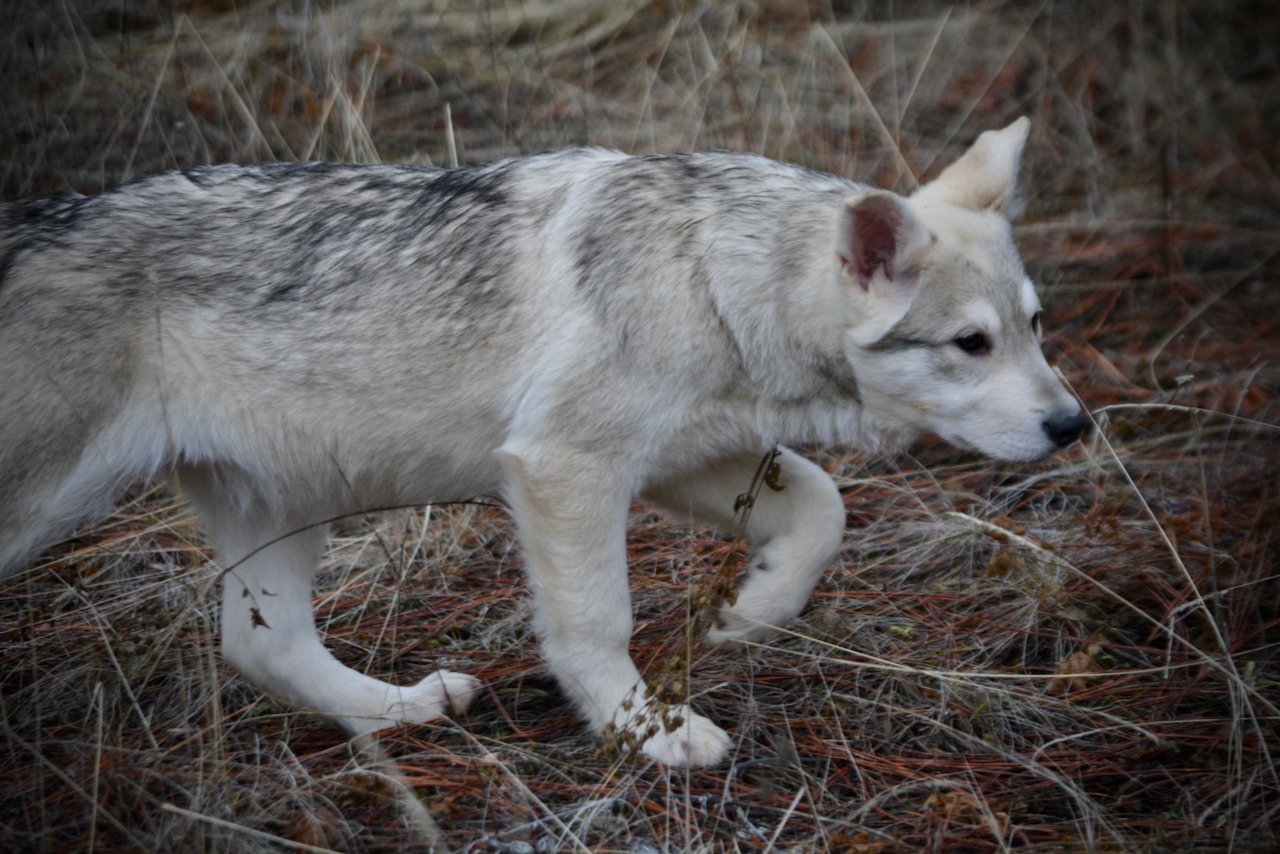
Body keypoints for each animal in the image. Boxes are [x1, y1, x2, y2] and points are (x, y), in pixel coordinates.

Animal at [0, 118, 1085, 768]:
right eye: (970, 343)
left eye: (1036, 328)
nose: (1073, 424)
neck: (711, 273)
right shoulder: (566, 467)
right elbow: (597, 622)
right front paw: (648, 733)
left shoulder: (687, 459)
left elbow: (824, 508)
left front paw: (752, 612)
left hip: (282, 507)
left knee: (261, 648)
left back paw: (403, 710)